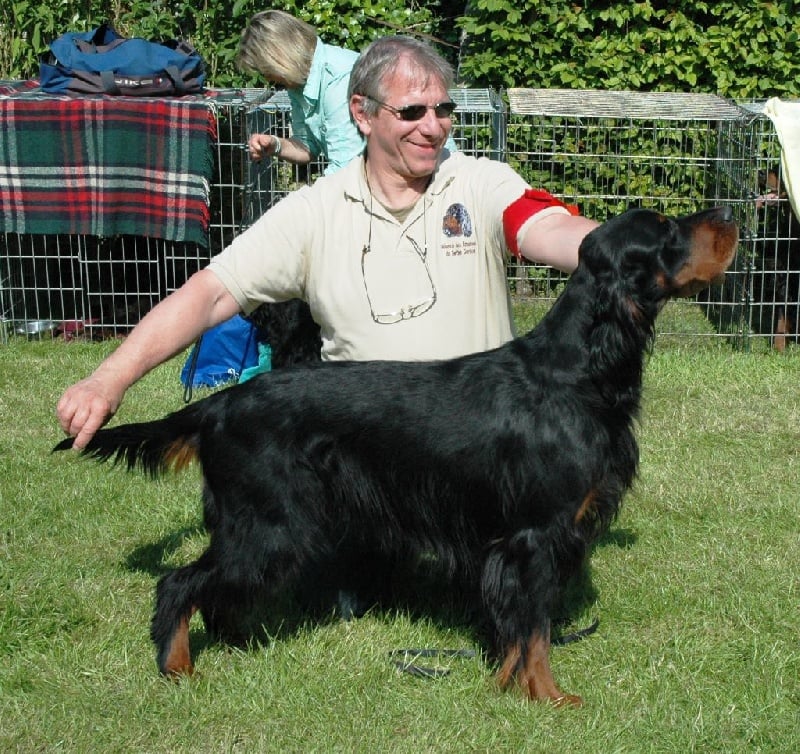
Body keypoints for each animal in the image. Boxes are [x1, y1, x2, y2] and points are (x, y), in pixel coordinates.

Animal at [56, 207, 736, 704]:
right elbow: (535, 628)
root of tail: (222, 404)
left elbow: (520, 627)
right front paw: (547, 697)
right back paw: (180, 670)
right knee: (179, 583)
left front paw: (512, 686)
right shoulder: (536, 536)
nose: (729, 213)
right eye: (668, 233)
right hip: (272, 524)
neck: (577, 372)